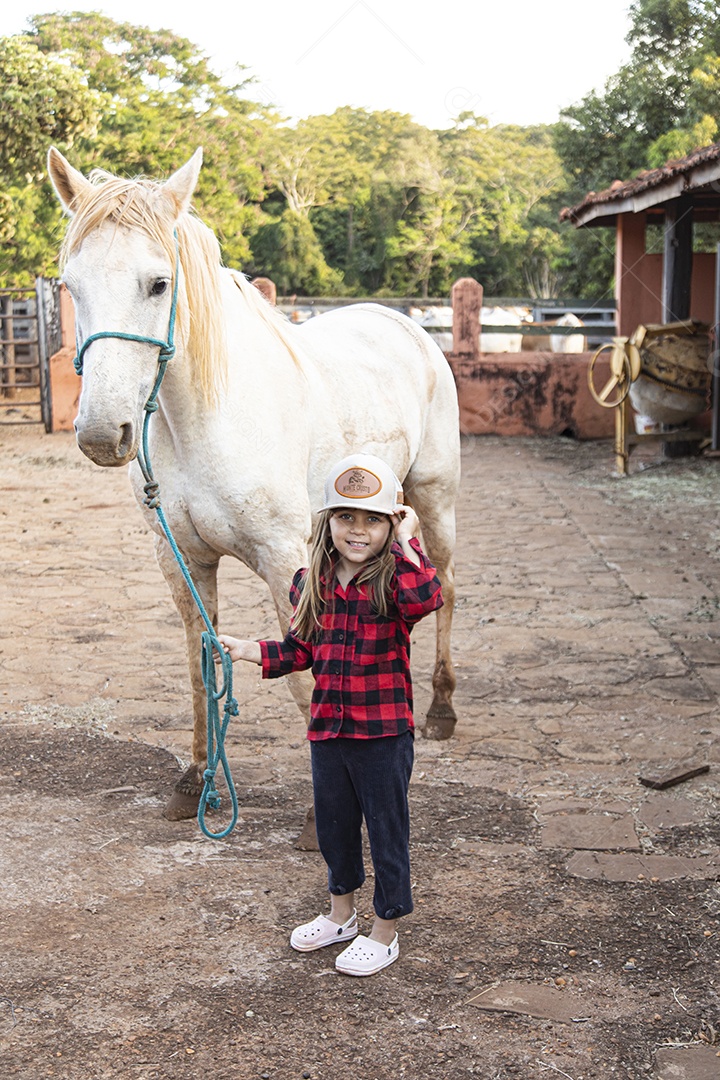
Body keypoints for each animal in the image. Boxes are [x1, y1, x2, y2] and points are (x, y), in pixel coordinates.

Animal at [47, 147, 461, 825]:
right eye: (71, 285)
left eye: (158, 283)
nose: (102, 433)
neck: (205, 421)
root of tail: (403, 322)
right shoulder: (181, 559)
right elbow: (201, 663)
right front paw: (196, 779)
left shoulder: (284, 559)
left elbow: (304, 679)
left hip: (436, 495)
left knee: (446, 586)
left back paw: (442, 707)